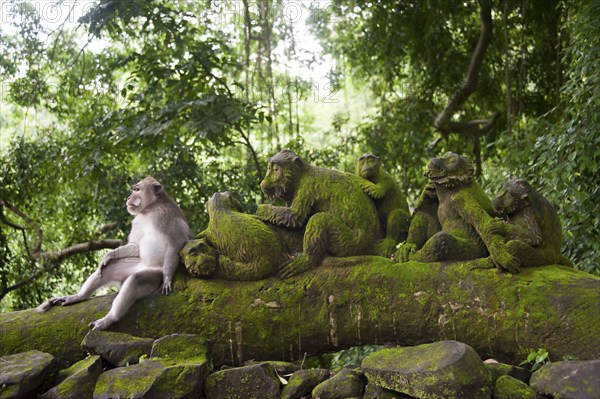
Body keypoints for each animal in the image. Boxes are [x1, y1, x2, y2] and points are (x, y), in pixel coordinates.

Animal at [37, 178, 192, 332]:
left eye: (137, 190)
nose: (128, 198)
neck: (150, 209)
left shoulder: (166, 216)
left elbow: (176, 243)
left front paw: (167, 278)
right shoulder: (138, 220)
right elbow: (134, 247)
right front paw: (108, 256)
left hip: (153, 274)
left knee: (135, 279)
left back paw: (109, 318)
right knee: (109, 269)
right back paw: (79, 296)